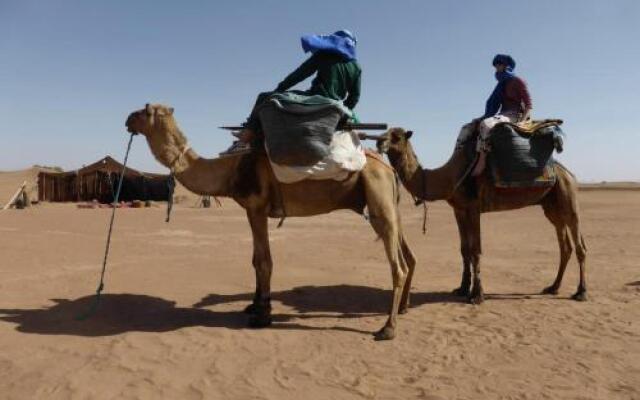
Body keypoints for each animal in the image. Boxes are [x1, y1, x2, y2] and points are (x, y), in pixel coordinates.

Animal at [124, 104, 416, 340]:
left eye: (145, 110)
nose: (127, 120)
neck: (229, 170)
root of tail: (387, 168)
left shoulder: (257, 208)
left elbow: (264, 261)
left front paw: (262, 315)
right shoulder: (252, 211)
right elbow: (255, 259)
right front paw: (253, 305)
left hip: (379, 200)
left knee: (398, 266)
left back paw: (388, 328)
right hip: (387, 204)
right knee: (406, 256)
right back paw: (400, 311)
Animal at [376, 128, 592, 304]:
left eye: (396, 137)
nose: (379, 142)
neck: (449, 176)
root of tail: (569, 174)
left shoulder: (473, 208)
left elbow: (475, 250)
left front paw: (477, 295)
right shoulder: (459, 209)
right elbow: (464, 250)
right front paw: (462, 288)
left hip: (568, 198)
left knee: (580, 246)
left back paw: (581, 293)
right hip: (552, 207)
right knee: (565, 246)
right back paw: (553, 287)